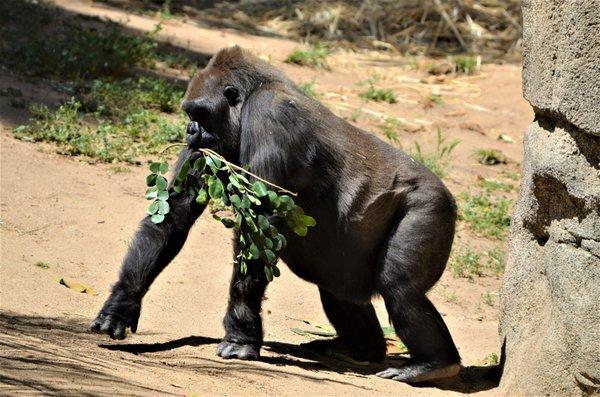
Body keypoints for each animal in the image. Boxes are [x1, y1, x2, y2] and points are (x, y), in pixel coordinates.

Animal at [91, 46, 462, 384]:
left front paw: (240, 337)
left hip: (430, 206)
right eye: (189, 114)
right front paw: (120, 305)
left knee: (400, 289)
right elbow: (173, 215)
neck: (251, 95)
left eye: (200, 113)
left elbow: (259, 228)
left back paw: (433, 364)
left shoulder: (269, 117)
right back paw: (361, 349)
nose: (189, 131)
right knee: (335, 284)